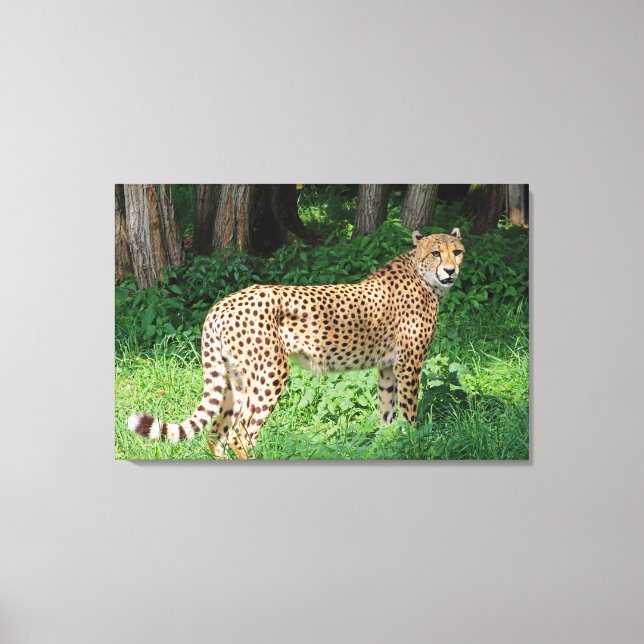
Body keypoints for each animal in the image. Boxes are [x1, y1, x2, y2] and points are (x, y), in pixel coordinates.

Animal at [128, 228, 465, 459]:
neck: (423, 276)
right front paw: (412, 443)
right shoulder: (409, 365)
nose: (451, 270)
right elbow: (409, 413)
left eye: (458, 251)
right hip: (270, 373)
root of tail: (222, 303)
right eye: (436, 253)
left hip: (235, 378)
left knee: (216, 432)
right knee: (240, 435)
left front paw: (387, 445)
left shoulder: (386, 367)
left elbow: (387, 412)